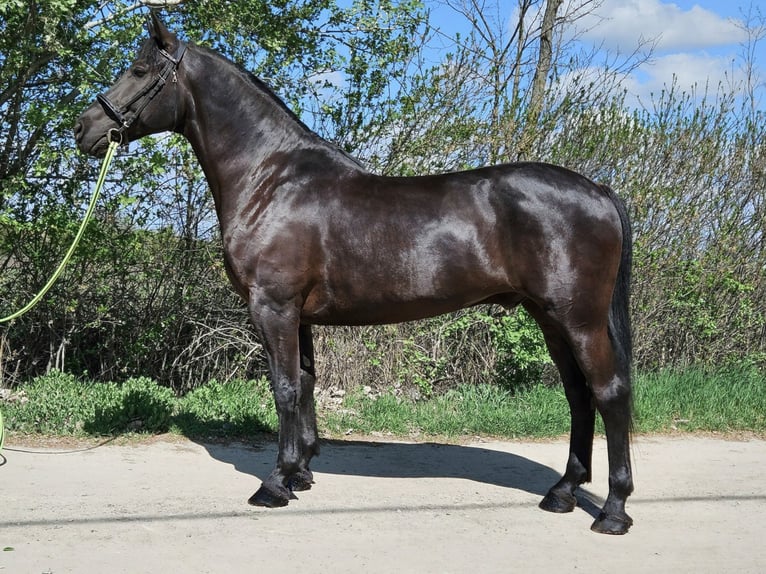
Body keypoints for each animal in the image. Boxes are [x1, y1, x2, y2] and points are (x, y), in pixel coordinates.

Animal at [75, 12, 634, 534]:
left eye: (139, 70)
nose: (84, 128)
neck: (270, 178)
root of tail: (599, 190)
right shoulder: (298, 315)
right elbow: (304, 383)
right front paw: (300, 473)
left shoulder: (273, 307)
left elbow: (283, 388)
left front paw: (274, 484)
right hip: (550, 319)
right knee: (579, 396)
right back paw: (563, 492)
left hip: (578, 320)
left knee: (608, 394)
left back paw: (613, 510)